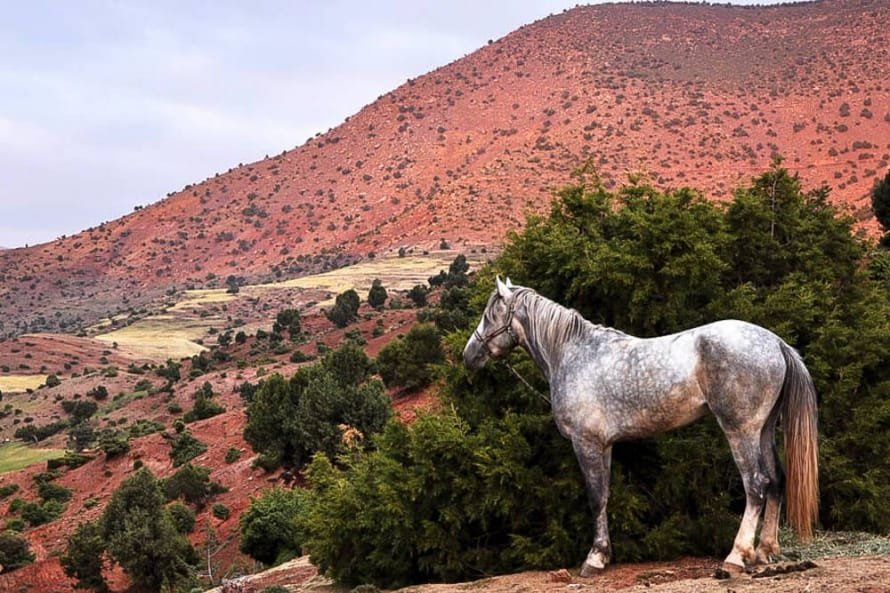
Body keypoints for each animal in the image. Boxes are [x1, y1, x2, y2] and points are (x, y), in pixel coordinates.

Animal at [464, 280, 820, 576]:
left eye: (489, 314)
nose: (468, 355)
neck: (574, 355)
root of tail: (775, 342)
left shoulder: (586, 443)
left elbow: (595, 497)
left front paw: (594, 559)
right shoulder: (605, 445)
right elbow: (605, 495)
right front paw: (603, 554)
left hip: (741, 431)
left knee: (756, 484)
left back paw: (737, 556)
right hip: (763, 430)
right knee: (776, 481)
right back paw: (764, 552)